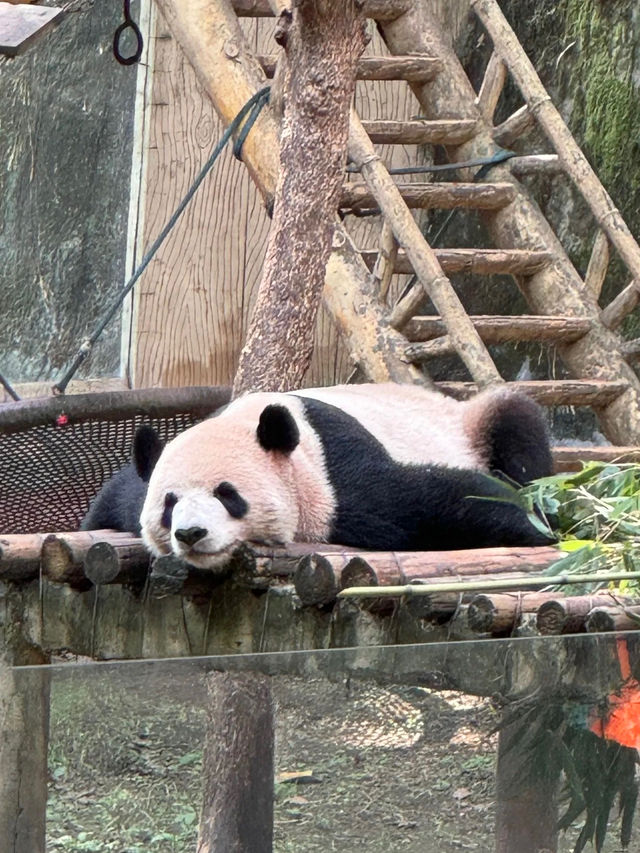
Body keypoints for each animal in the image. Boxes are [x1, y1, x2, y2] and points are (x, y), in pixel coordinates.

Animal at [132, 382, 556, 568]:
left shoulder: (334, 464)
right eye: (169, 503)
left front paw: (532, 525)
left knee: (518, 424)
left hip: (473, 424)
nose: (190, 533)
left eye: (227, 494)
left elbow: (421, 499)